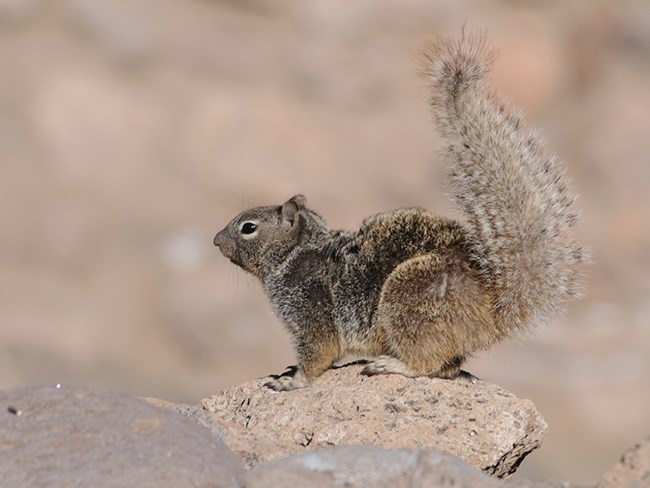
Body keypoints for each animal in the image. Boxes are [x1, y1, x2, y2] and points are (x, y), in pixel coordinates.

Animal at [213, 31, 588, 392]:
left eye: (248, 227)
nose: (216, 240)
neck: (298, 253)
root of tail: (495, 305)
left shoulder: (311, 313)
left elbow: (319, 353)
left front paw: (291, 381)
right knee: (449, 367)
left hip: (408, 298)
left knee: (428, 363)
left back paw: (389, 364)